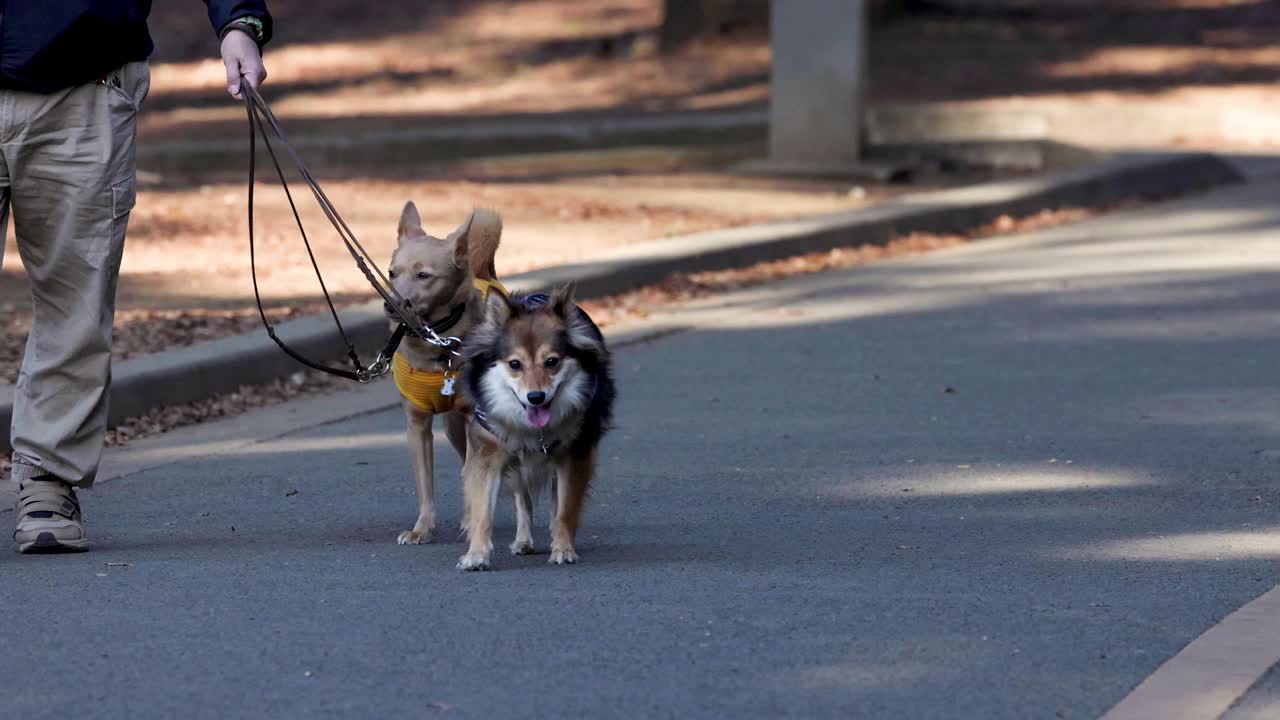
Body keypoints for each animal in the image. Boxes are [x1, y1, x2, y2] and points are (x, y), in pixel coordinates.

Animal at [384, 202, 504, 543]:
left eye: (423, 275)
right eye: (391, 273)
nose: (391, 305)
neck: (435, 340)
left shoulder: (473, 419)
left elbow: (470, 474)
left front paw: (472, 520)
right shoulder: (417, 425)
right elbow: (426, 483)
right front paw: (421, 529)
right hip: (451, 426)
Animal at [458, 283, 616, 568]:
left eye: (552, 361)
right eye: (514, 364)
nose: (536, 397)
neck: (531, 429)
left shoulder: (574, 454)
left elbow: (565, 508)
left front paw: (563, 548)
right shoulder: (487, 455)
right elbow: (482, 510)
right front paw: (476, 554)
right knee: (523, 500)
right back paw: (523, 541)